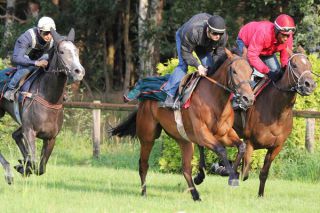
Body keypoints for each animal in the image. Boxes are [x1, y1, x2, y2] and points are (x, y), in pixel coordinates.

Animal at [0, 27, 85, 183]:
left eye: (76, 50)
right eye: (62, 52)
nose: (79, 72)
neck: (49, 98)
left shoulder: (51, 138)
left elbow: (41, 168)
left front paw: (23, 166)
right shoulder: (29, 131)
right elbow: (33, 162)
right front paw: (23, 166)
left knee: (15, 135)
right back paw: (8, 172)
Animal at [110, 49, 255, 201]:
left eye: (251, 72)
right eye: (234, 71)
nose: (248, 99)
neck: (214, 99)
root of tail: (143, 100)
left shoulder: (224, 133)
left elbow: (242, 146)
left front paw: (229, 173)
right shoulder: (202, 134)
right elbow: (221, 149)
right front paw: (229, 174)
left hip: (184, 140)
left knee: (185, 168)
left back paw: (196, 195)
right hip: (148, 137)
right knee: (143, 164)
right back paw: (144, 193)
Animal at [195, 48, 318, 196]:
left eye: (309, 65)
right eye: (294, 65)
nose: (310, 85)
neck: (277, 111)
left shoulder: (276, 147)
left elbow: (263, 173)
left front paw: (260, 195)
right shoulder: (250, 142)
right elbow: (244, 174)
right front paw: (223, 170)